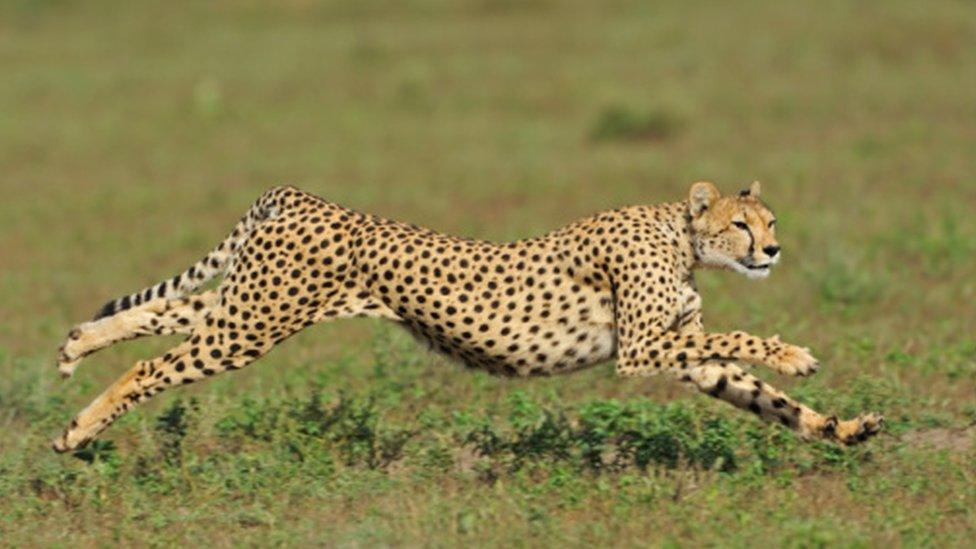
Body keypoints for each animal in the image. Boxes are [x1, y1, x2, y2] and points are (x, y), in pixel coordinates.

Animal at [53, 182, 884, 452]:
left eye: (770, 220)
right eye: (743, 224)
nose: (773, 249)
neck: (681, 236)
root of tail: (298, 195)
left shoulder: (682, 354)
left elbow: (764, 398)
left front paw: (844, 428)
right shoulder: (641, 349)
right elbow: (742, 341)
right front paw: (795, 352)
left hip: (249, 303)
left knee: (161, 312)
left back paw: (73, 348)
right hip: (253, 322)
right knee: (153, 363)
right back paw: (77, 432)